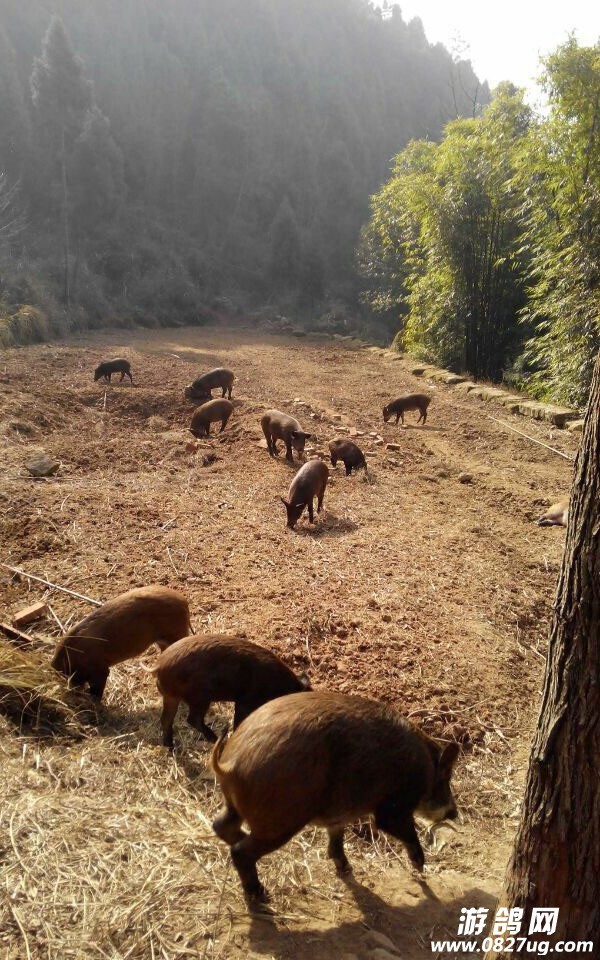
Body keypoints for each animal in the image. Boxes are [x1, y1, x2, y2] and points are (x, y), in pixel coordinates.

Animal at [152, 636, 312, 752]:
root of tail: (159, 665)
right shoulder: (245, 700)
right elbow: (239, 720)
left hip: (171, 697)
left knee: (166, 719)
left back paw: (171, 748)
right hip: (201, 696)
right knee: (192, 719)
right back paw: (216, 740)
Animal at [211, 692, 460, 904]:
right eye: (445, 779)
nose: (454, 813)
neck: (425, 768)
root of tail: (230, 764)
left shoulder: (338, 814)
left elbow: (336, 839)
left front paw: (346, 869)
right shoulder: (393, 808)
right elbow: (401, 830)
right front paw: (420, 867)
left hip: (235, 806)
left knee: (220, 825)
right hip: (280, 820)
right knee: (240, 852)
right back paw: (261, 896)